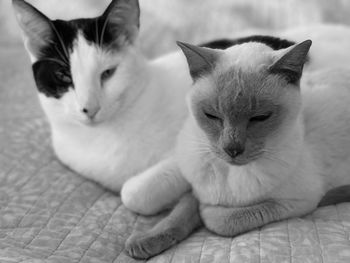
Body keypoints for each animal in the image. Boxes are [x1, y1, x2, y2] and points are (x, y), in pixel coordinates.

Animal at [122, 41, 350, 260]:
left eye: (260, 118)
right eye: (212, 116)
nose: (232, 149)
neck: (229, 173)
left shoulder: (298, 202)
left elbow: (221, 219)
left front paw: (207, 212)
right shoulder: (199, 189)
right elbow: (178, 215)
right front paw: (144, 241)